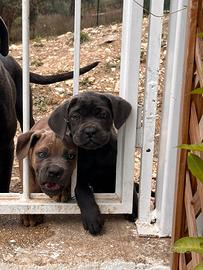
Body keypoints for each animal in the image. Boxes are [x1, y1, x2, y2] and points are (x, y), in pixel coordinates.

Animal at [48, 91, 137, 234]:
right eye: (75, 117)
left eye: (103, 115)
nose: (90, 131)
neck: (95, 153)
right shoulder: (80, 179)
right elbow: (82, 192)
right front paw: (92, 219)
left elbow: (130, 190)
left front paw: (133, 209)